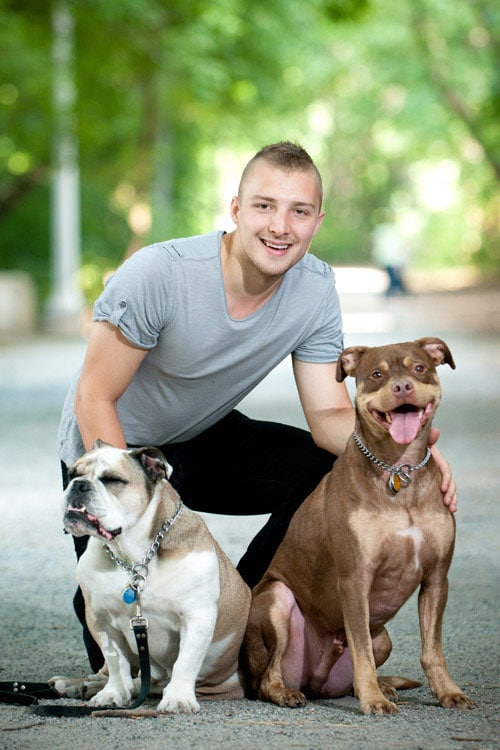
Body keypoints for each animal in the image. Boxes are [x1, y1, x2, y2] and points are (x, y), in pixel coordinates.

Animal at [244, 338, 474, 712]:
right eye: (377, 374)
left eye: (419, 368)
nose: (402, 386)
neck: (399, 469)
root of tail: (314, 680)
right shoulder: (355, 578)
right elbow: (360, 648)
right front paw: (373, 701)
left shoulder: (437, 578)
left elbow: (432, 649)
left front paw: (448, 691)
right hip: (276, 602)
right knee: (268, 676)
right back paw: (287, 692)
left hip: (385, 639)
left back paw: (383, 686)